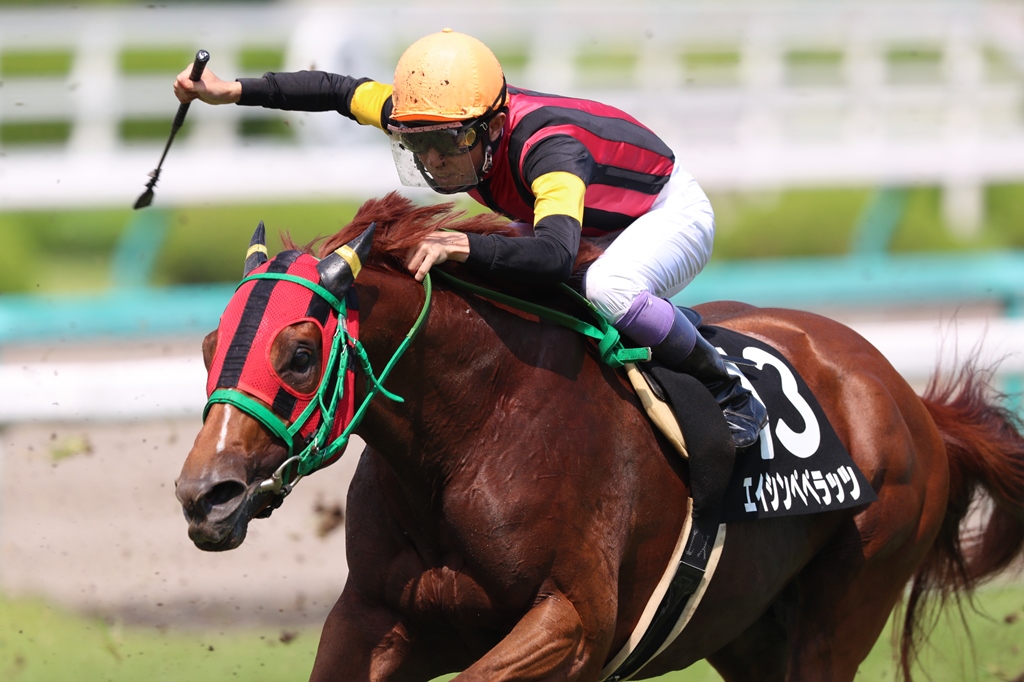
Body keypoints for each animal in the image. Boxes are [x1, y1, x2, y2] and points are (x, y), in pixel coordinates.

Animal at [175, 192, 1024, 682]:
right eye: (211, 344)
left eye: (298, 352)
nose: (203, 494)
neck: (473, 433)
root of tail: (910, 400)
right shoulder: (375, 616)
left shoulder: (574, 620)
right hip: (747, 631)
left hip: (849, 602)